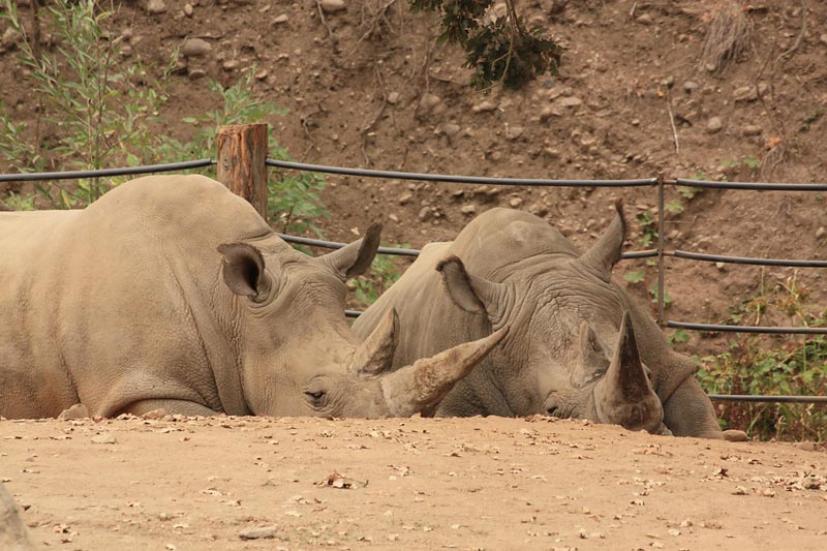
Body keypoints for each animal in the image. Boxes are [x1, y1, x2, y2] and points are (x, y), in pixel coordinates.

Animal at [352, 205, 748, 442]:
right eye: (552, 410)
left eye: (649, 375)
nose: (639, 430)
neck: (530, 266)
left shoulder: (658, 351)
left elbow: (695, 408)